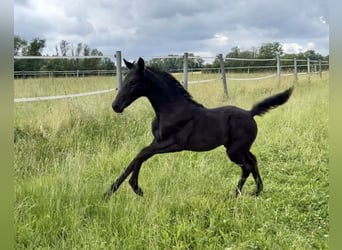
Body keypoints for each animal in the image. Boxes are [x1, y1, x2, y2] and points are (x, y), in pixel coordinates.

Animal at [103, 57, 292, 199]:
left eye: (133, 82)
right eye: (125, 81)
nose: (115, 106)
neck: (171, 109)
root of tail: (250, 113)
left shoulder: (175, 144)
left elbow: (142, 153)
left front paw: (136, 188)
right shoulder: (157, 140)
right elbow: (136, 159)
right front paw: (109, 191)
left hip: (234, 151)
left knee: (246, 166)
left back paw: (234, 194)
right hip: (239, 147)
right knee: (253, 161)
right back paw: (257, 191)